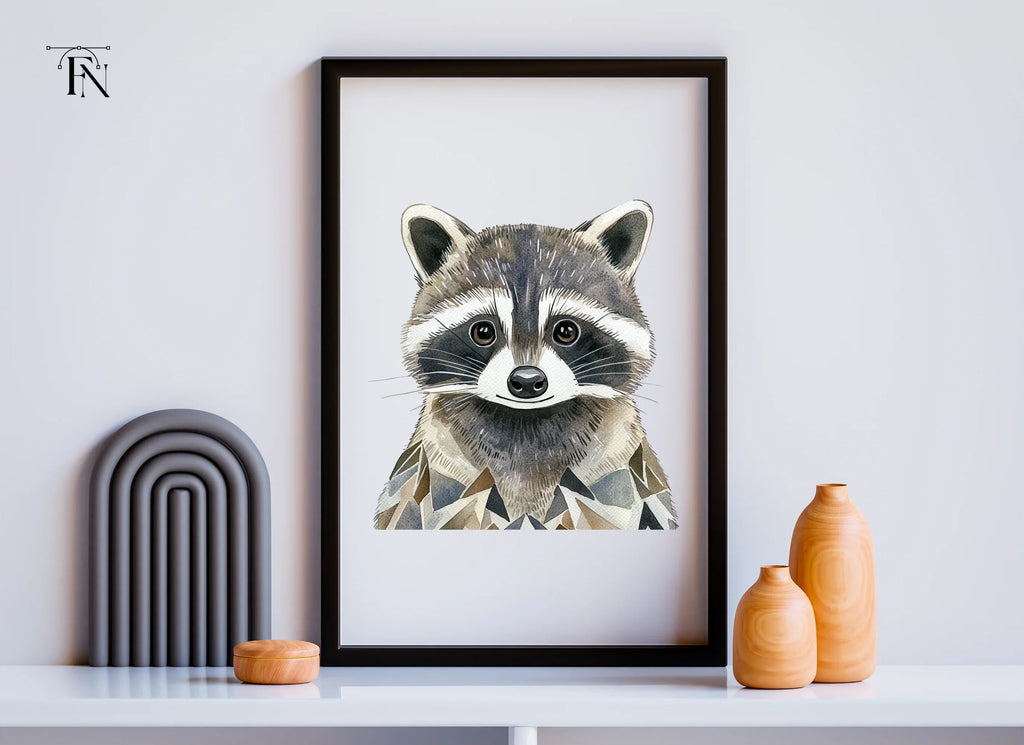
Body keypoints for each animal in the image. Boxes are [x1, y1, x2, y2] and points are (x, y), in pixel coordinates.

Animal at [375, 200, 678, 531]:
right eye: (483, 331)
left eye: (566, 331)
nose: (528, 380)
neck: (526, 424)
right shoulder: (431, 478)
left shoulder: (624, 479)